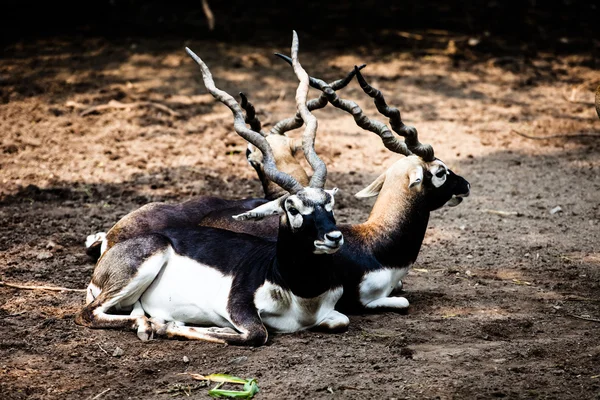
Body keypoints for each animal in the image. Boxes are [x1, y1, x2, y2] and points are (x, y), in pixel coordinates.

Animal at [75, 31, 350, 346]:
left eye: (329, 202)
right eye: (292, 208)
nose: (333, 237)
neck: (299, 289)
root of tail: (111, 247)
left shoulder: (332, 315)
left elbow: (340, 321)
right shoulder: (239, 307)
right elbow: (257, 333)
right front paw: (171, 325)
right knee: (88, 313)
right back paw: (149, 324)